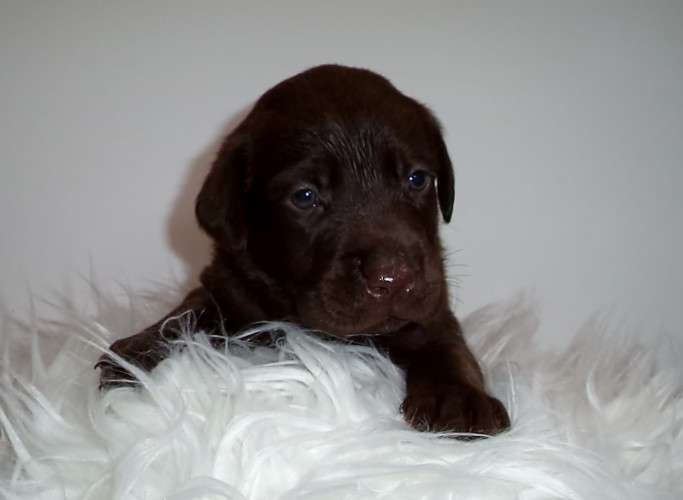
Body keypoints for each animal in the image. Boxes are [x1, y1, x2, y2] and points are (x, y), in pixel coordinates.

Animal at [97, 64, 510, 435]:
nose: (393, 278)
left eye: (417, 179)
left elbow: (447, 345)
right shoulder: (226, 286)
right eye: (305, 196)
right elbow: (182, 315)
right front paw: (135, 353)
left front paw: (458, 397)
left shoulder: (432, 301)